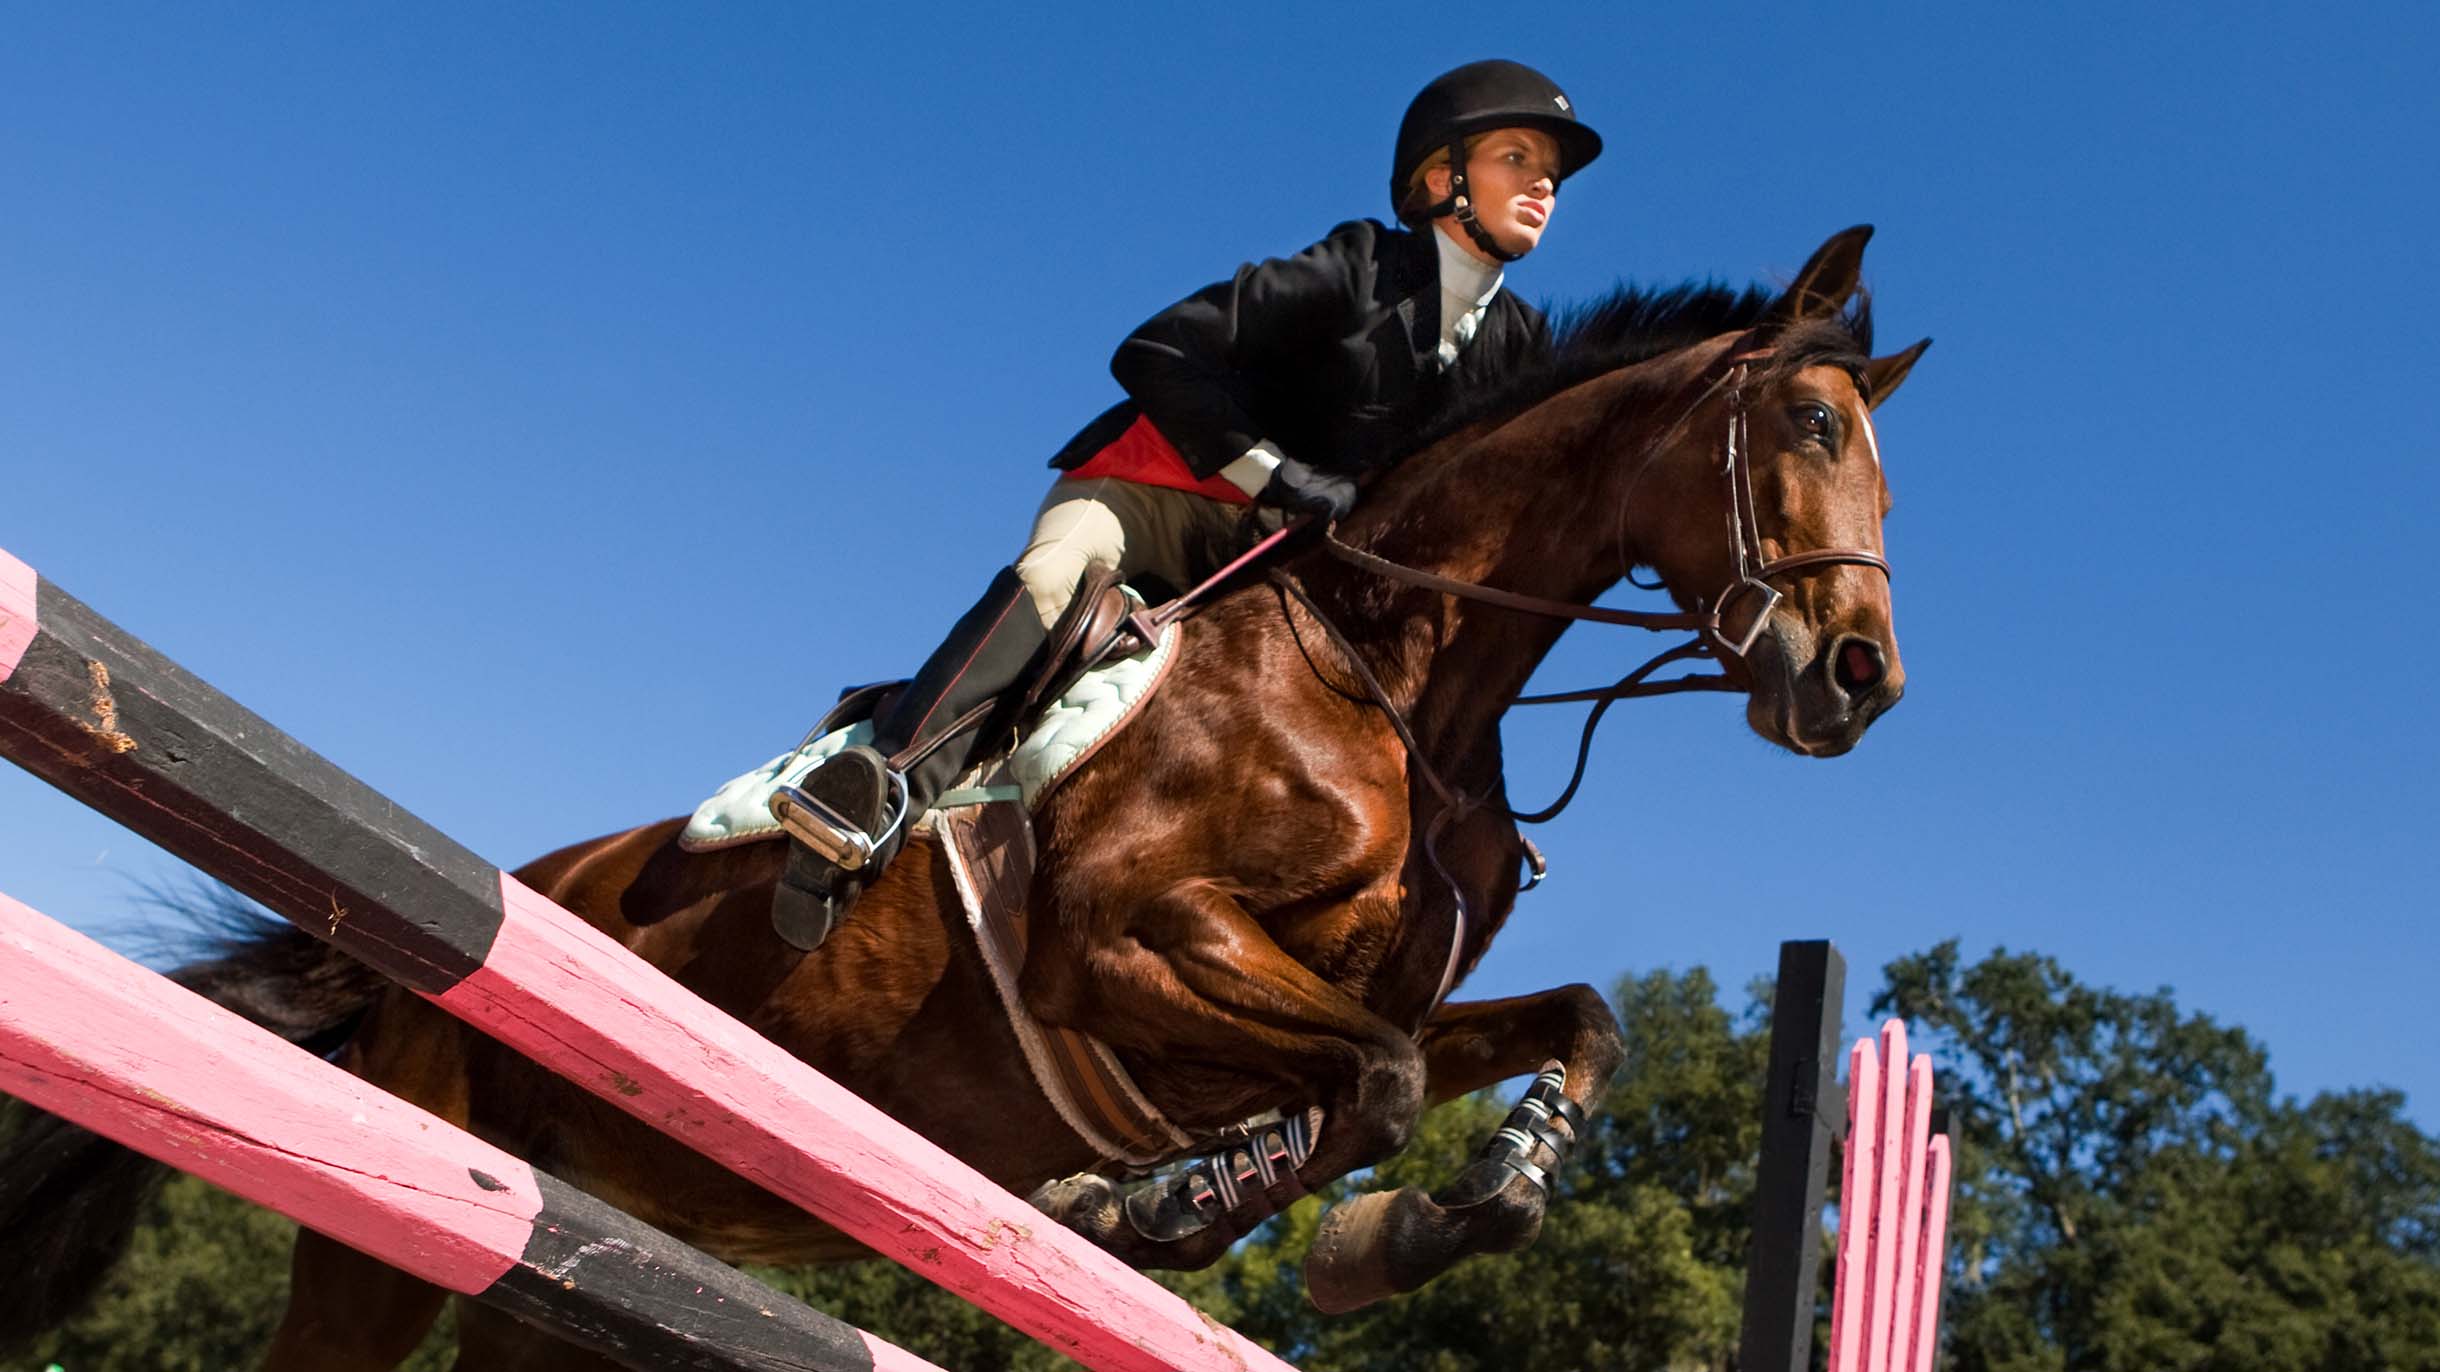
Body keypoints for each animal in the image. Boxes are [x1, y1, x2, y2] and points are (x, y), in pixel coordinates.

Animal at [9, 222, 1932, 1357]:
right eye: (1813, 430)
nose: (1862, 683)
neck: (1399, 681)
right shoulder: (1132, 942)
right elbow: (1374, 1085)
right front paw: (1196, 1209)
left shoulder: (1363, 986)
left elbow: (1562, 1029)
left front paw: (1409, 1219)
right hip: (406, 1202)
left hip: (566, 1261)